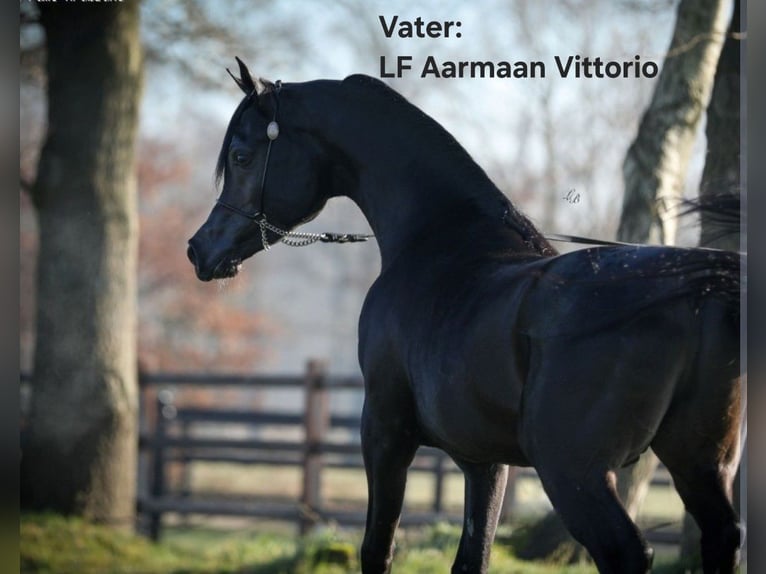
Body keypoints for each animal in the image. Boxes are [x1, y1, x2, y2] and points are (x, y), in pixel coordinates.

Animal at [187, 59, 745, 574]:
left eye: (241, 155)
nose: (199, 249)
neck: (443, 240)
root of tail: (693, 289)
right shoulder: (484, 461)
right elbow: (472, 557)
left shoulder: (384, 430)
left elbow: (378, 549)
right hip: (700, 464)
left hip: (575, 473)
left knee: (628, 552)